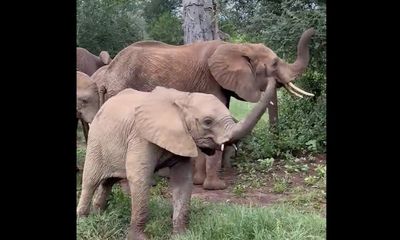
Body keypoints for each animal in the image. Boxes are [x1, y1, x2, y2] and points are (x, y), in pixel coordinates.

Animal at [77, 81, 276, 239]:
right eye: (207, 121)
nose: (272, 77)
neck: (183, 99)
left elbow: (183, 180)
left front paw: (182, 235)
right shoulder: (140, 136)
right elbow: (139, 178)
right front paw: (139, 238)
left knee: (109, 181)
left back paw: (99, 214)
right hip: (96, 140)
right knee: (91, 180)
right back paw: (84, 219)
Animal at [94, 28, 316, 189]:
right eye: (275, 63)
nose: (313, 31)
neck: (237, 47)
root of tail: (107, 74)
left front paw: (199, 182)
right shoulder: (209, 82)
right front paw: (216, 187)